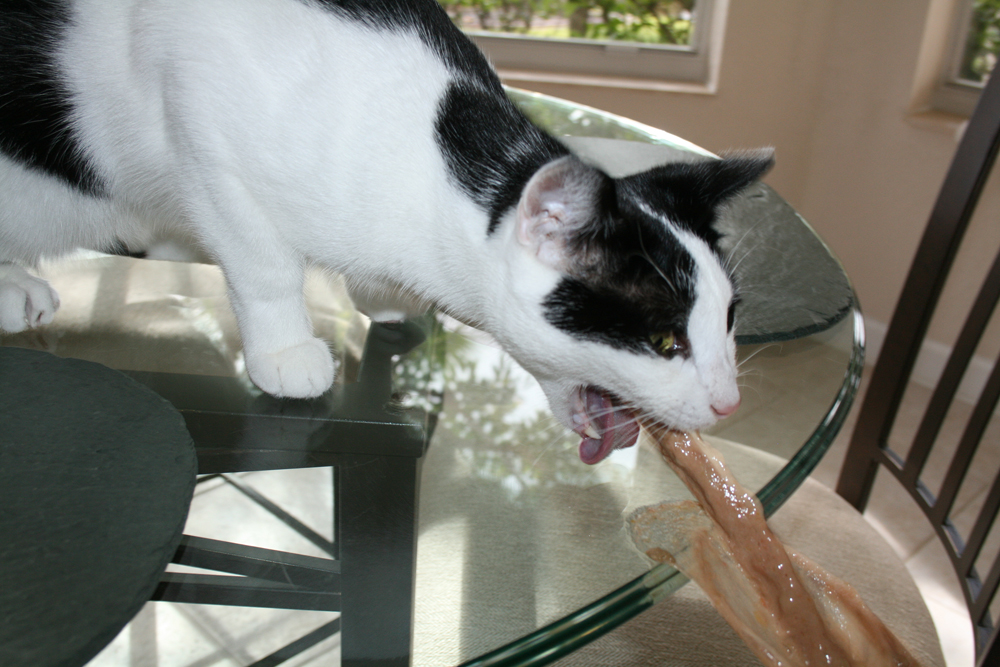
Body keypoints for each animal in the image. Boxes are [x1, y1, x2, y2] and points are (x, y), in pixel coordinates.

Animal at [0, 0, 772, 464]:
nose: (730, 403)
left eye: (730, 320)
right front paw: (286, 351)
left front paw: (383, 296)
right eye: (665, 341)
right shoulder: (203, 137)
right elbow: (264, 265)